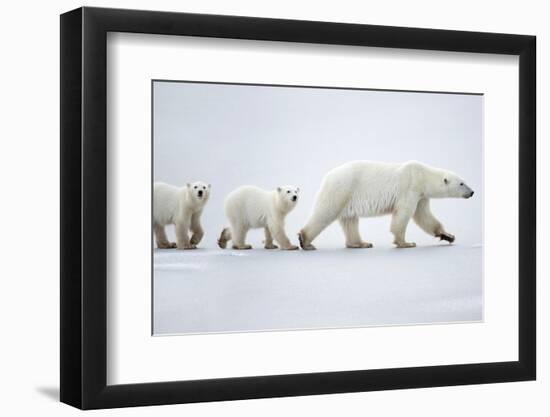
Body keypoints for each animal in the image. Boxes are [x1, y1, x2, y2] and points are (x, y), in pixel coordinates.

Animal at [300, 161, 476, 249]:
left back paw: (361, 243)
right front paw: (406, 243)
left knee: (350, 221)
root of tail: (327, 176)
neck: (422, 175)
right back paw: (305, 241)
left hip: (347, 197)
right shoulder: (410, 187)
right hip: (341, 189)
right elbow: (403, 215)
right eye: (462, 183)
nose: (472, 192)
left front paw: (448, 236)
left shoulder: (421, 196)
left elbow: (424, 216)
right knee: (325, 213)